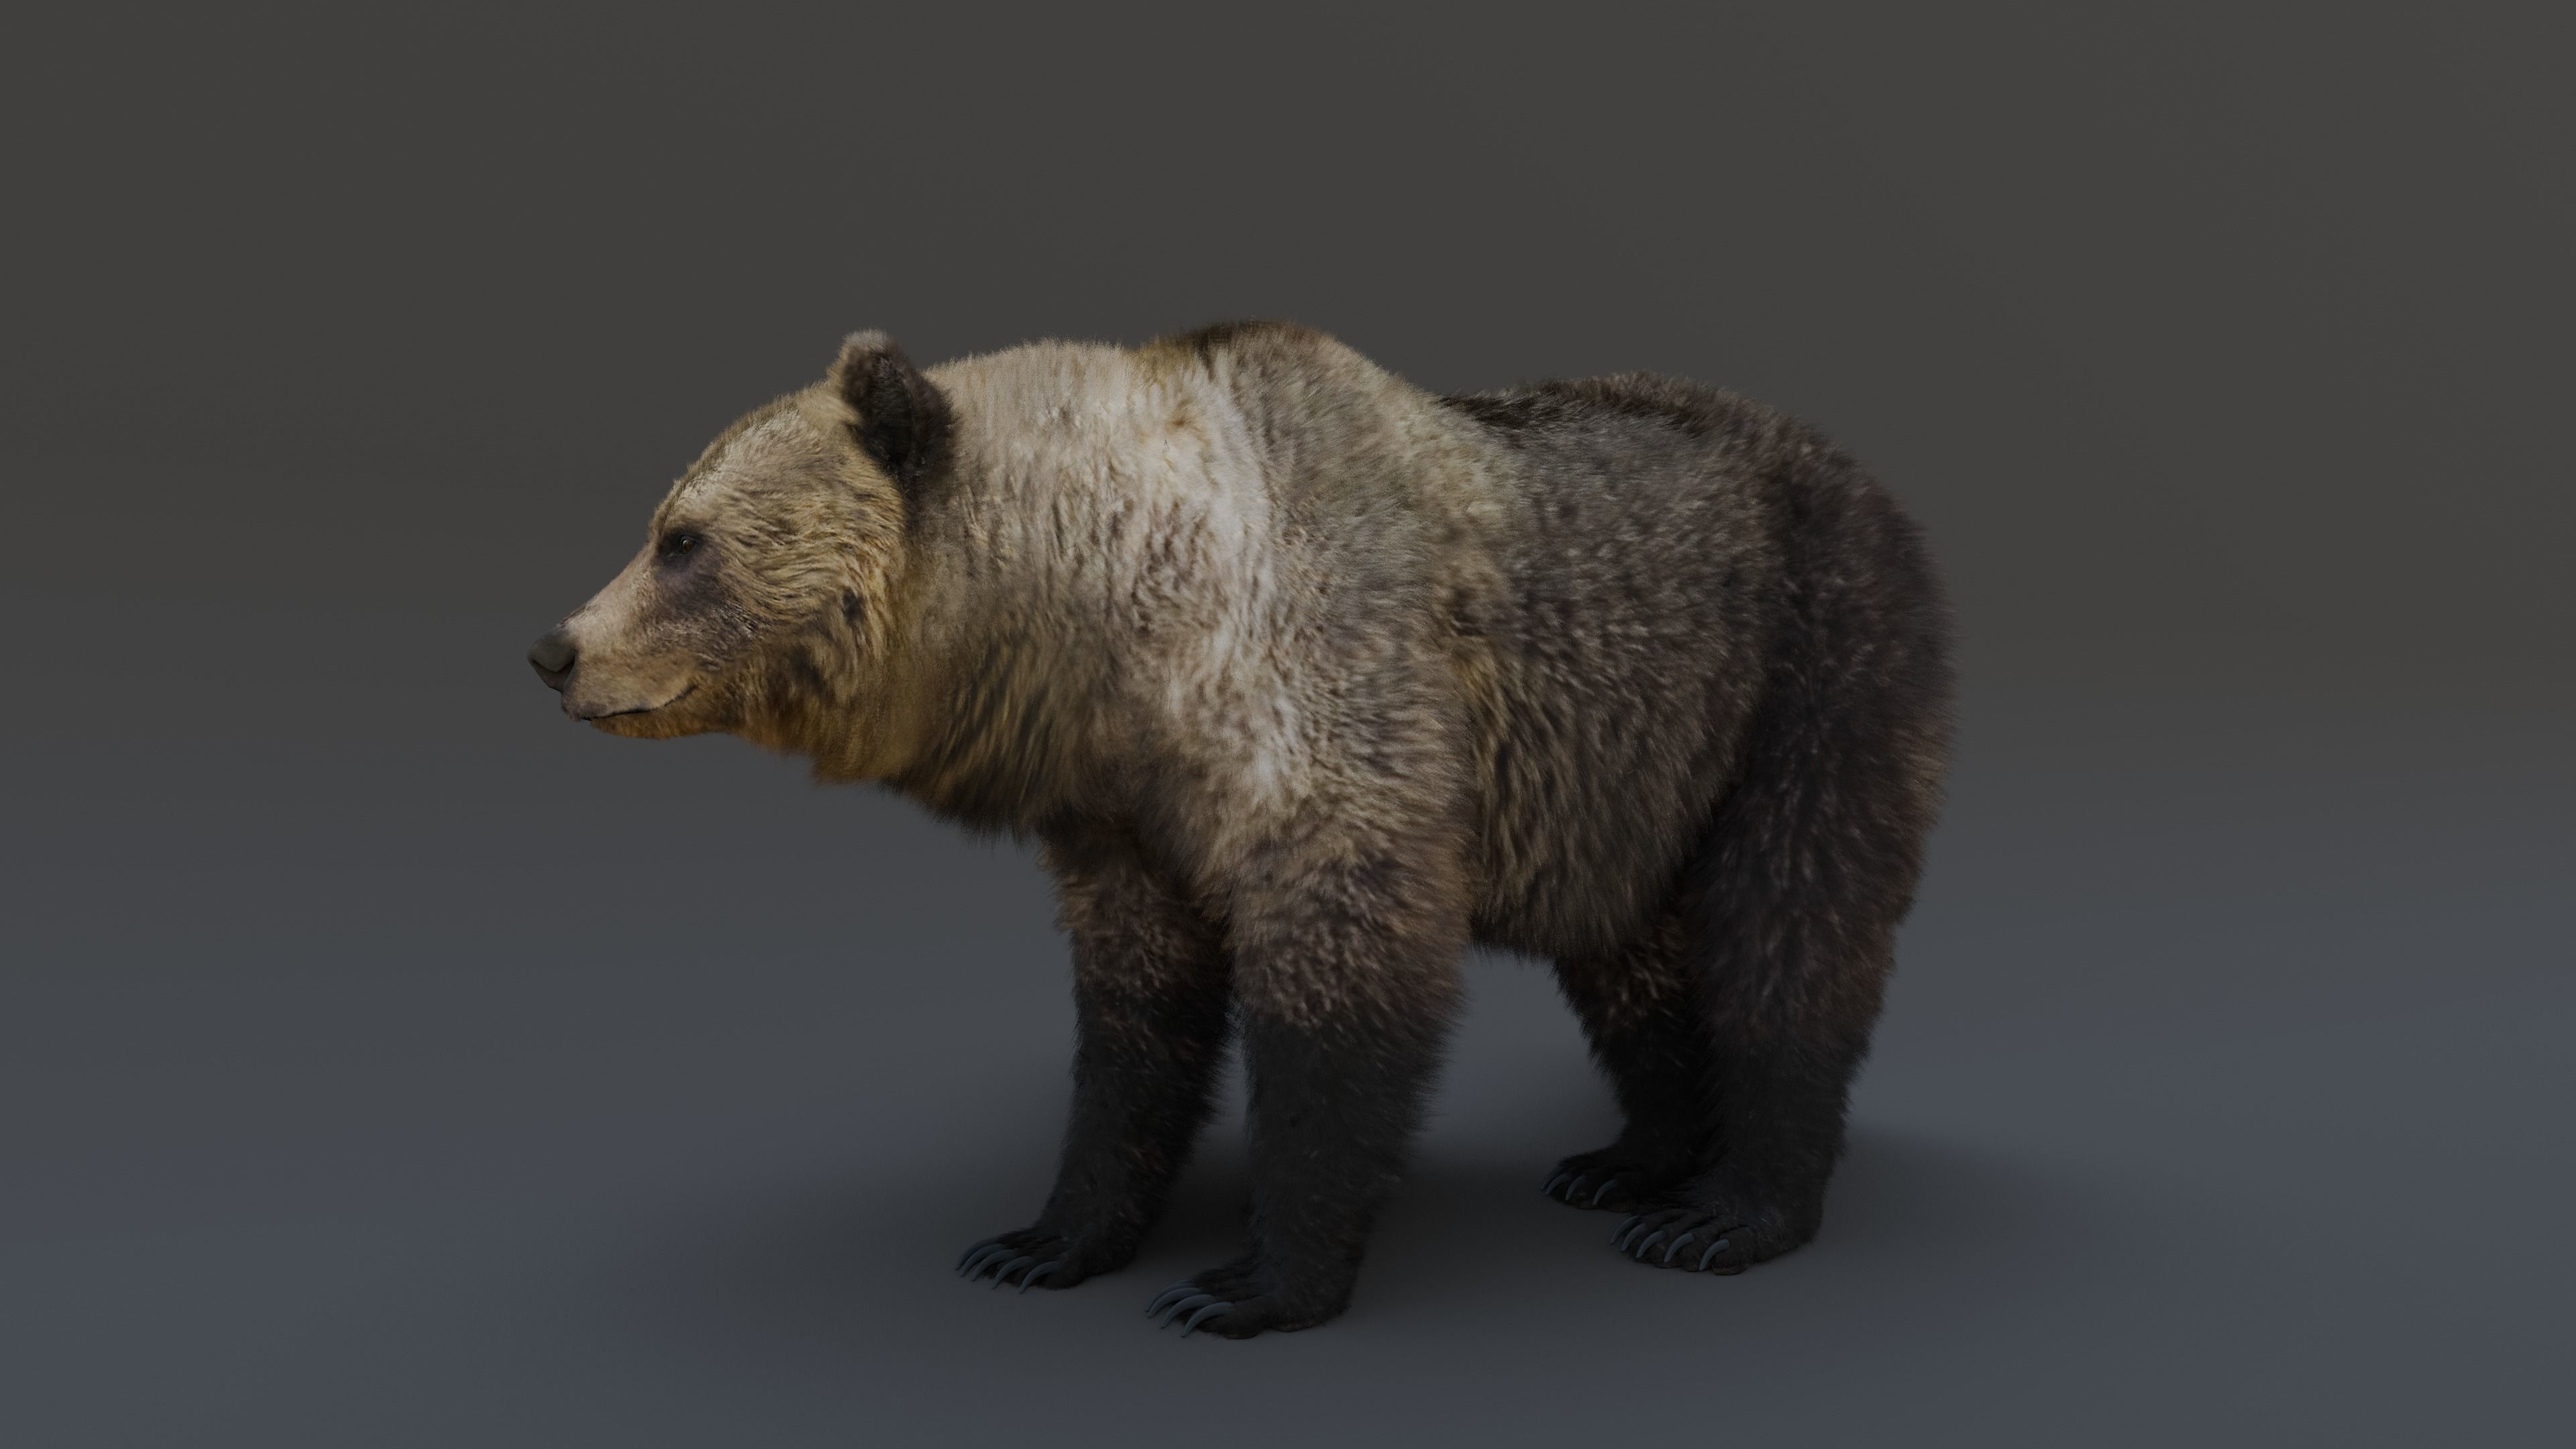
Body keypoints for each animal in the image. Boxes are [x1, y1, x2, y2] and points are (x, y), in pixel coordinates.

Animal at [528, 320, 1954, 1339]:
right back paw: (1632, 1161)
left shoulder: (1329, 707)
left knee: (1791, 925)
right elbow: (1132, 1020)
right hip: (1627, 770)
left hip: (1808, 669)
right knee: (1629, 956)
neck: (1114, 620)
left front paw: (1248, 1281)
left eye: (682, 539)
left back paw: (1729, 1211)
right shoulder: (1124, 809)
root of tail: (1854, 467)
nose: (556, 651)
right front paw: (1042, 1238)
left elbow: (1339, 989)